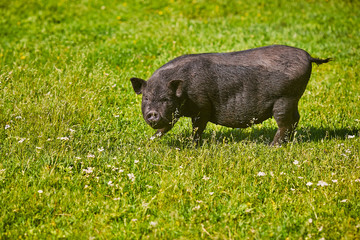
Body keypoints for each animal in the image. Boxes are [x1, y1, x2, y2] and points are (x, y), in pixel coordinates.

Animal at [131, 45, 330, 145]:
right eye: (146, 98)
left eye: (166, 99)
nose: (152, 113)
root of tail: (308, 56)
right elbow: (166, 128)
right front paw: (148, 141)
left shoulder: (202, 107)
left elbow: (197, 128)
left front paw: (192, 145)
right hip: (293, 99)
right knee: (296, 119)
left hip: (284, 99)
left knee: (285, 123)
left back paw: (272, 146)